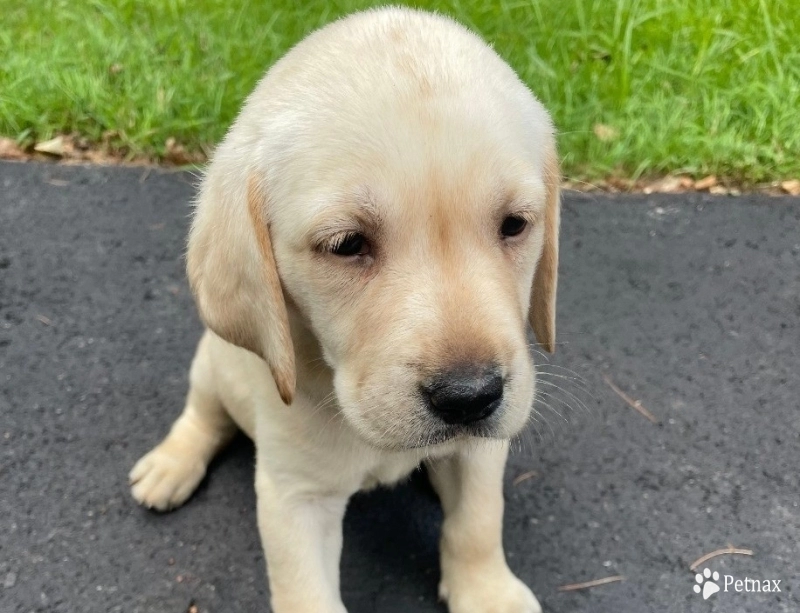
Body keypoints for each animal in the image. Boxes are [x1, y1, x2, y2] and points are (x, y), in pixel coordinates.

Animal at [130, 5, 556, 612]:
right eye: (348, 244)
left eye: (515, 225)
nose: (470, 397)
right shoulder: (294, 497)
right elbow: (306, 592)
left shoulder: (481, 452)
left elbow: (477, 519)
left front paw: (487, 592)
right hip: (212, 363)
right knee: (202, 415)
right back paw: (171, 465)